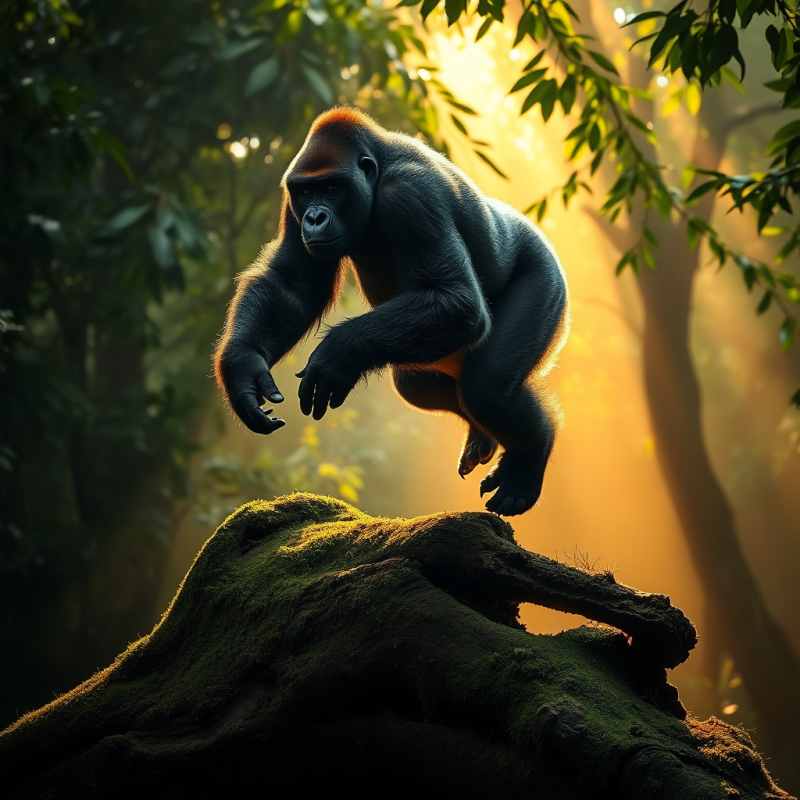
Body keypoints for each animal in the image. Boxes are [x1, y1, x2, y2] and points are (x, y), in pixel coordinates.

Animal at [214, 107, 569, 516]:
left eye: (331, 189)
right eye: (306, 192)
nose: (314, 218)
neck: (377, 167)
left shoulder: (411, 192)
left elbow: (455, 298)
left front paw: (336, 352)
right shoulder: (292, 205)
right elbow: (290, 286)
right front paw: (243, 368)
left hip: (546, 276)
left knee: (487, 387)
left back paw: (530, 458)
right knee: (418, 383)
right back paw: (486, 438)